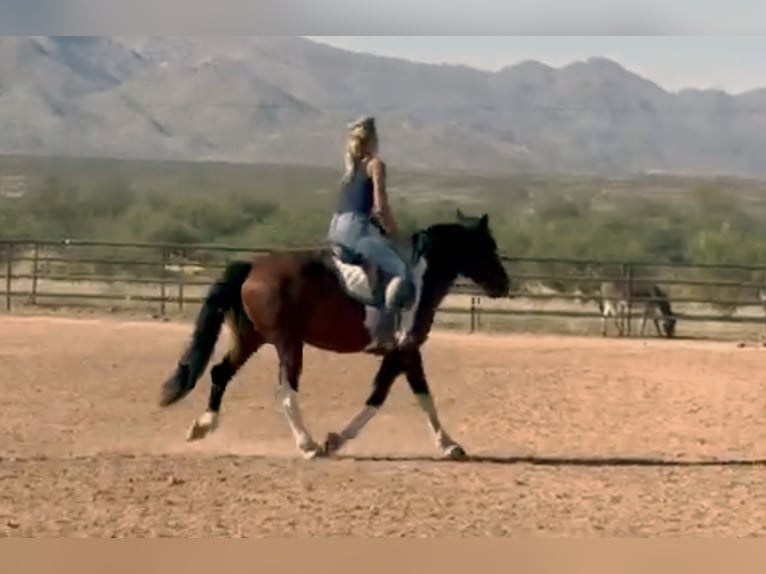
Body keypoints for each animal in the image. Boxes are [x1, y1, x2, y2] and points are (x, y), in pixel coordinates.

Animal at [157, 209, 510, 461]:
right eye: (488, 247)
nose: (504, 285)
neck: (419, 280)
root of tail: (252, 268)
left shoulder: (404, 352)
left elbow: (409, 395)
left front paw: (449, 445)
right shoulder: (404, 350)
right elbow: (386, 396)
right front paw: (336, 440)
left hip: (250, 338)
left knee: (220, 372)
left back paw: (202, 426)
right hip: (287, 343)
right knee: (286, 392)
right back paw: (308, 445)